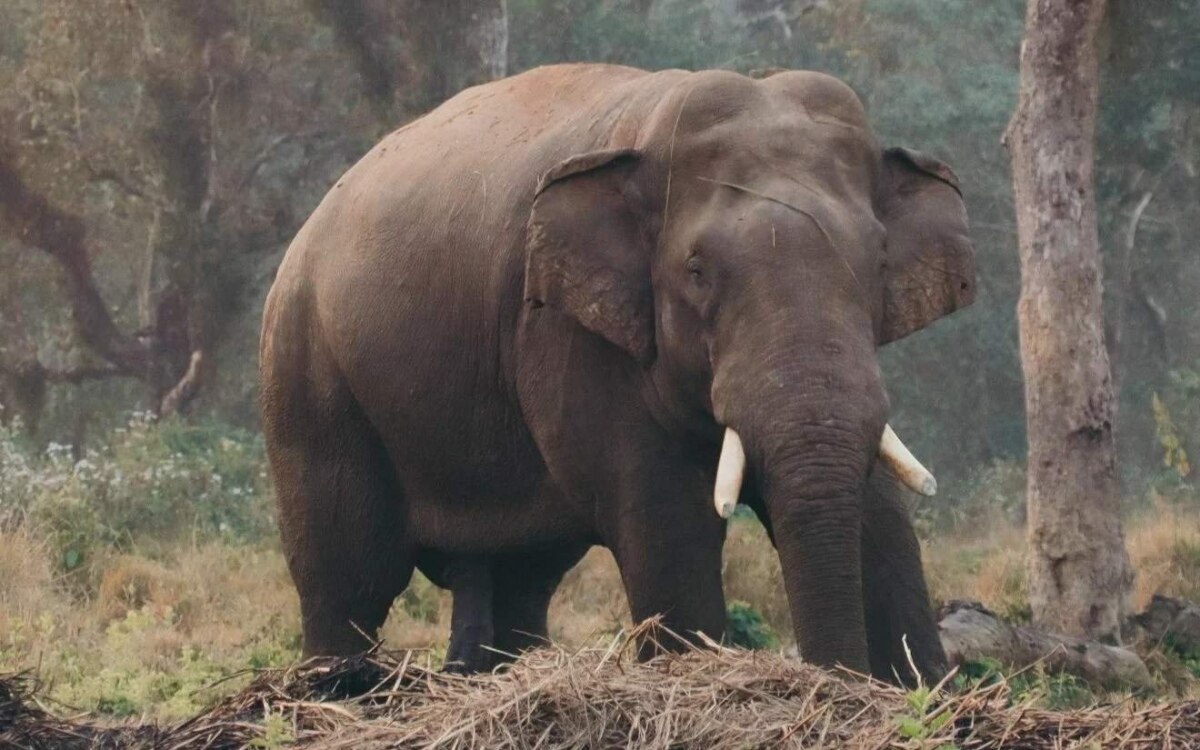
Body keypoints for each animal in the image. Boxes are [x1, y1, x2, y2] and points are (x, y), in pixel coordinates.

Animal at [260, 64, 974, 681]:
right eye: (696, 271)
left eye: (878, 259)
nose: (835, 678)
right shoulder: (569, 333)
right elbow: (666, 521)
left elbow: (880, 512)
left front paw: (918, 687)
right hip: (307, 378)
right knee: (348, 576)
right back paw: (337, 687)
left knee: (518, 578)